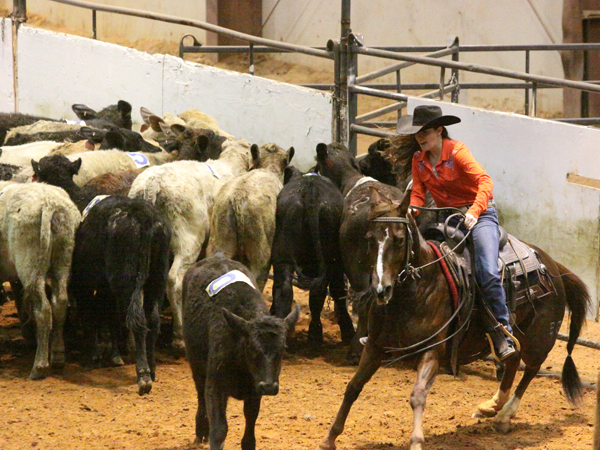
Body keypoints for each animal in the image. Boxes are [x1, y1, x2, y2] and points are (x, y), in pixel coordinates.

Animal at [31, 154, 171, 394]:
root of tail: (143, 216)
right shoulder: (105, 285)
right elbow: (108, 314)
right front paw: (112, 355)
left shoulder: (82, 283)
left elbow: (90, 314)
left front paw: (94, 357)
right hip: (157, 278)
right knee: (152, 320)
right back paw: (152, 369)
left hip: (126, 279)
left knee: (137, 320)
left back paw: (143, 375)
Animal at [180, 255, 298, 448]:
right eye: (252, 348)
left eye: (283, 349)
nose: (269, 386)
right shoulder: (215, 385)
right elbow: (219, 429)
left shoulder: (255, 389)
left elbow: (250, 422)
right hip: (196, 363)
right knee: (200, 395)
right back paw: (201, 430)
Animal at [270, 174, 354, 342]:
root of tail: (311, 192)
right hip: (330, 258)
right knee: (321, 290)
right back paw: (317, 335)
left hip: (283, 255)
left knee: (284, 288)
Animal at [316, 185, 588, 450]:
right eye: (370, 239)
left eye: (399, 239)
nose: (381, 289)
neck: (419, 289)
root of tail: (553, 266)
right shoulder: (374, 346)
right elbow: (353, 387)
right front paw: (329, 438)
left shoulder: (432, 351)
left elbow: (417, 396)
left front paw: (416, 442)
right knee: (512, 361)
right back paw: (490, 406)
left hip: (540, 337)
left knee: (531, 368)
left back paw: (504, 415)